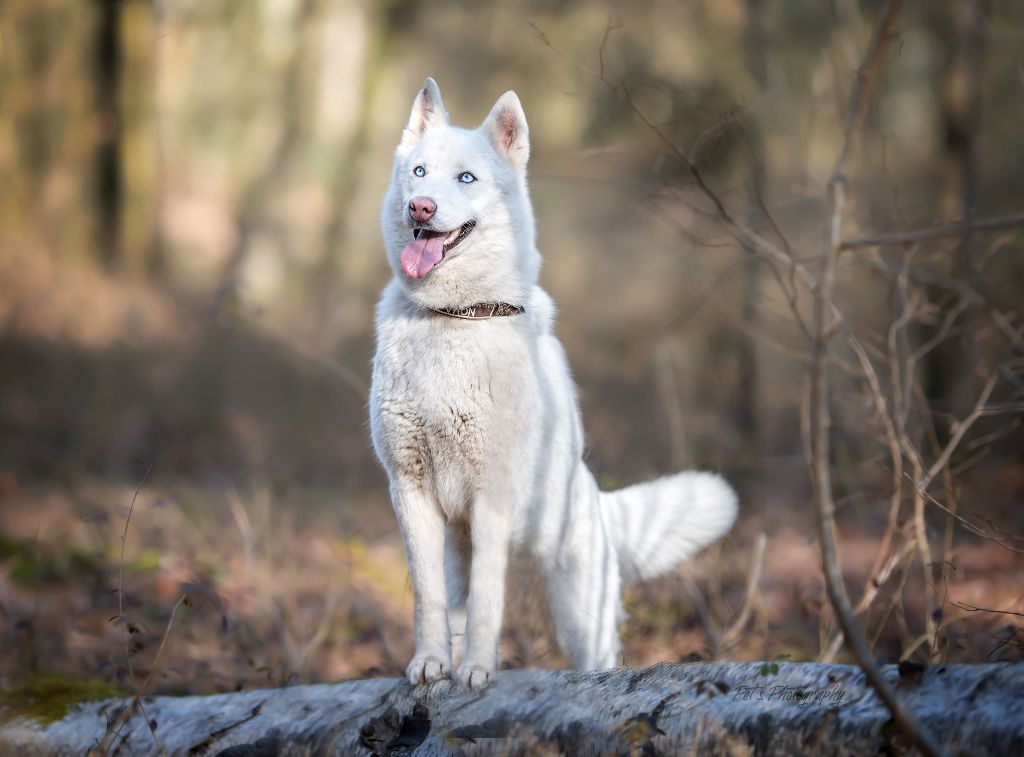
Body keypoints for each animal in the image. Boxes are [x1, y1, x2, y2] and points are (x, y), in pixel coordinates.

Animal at [368, 78, 737, 692]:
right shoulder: (409, 491)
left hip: (580, 618)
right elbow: (427, 597)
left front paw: (476, 670)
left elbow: (488, 601)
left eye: (465, 178)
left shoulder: (490, 495)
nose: (420, 207)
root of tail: (594, 498)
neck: (456, 317)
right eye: (419, 172)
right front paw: (431, 663)